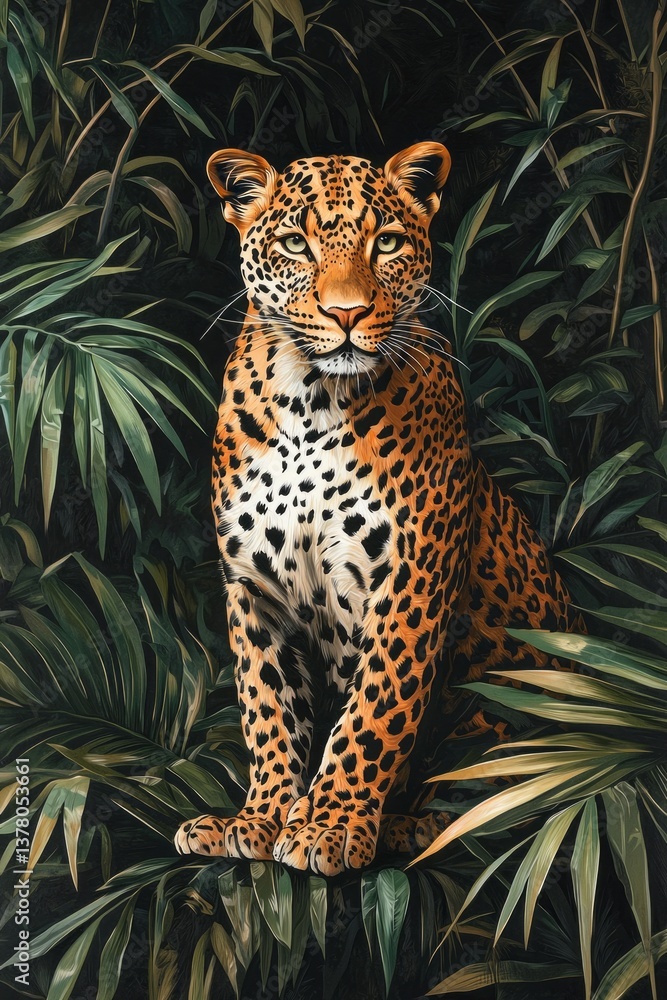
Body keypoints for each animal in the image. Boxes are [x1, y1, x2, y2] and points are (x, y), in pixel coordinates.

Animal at [174, 141, 578, 876]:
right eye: (295, 243)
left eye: (384, 242)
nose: (347, 314)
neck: (309, 402)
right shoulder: (252, 589)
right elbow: (267, 707)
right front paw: (260, 819)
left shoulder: (410, 581)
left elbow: (373, 711)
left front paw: (328, 827)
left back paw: (413, 827)